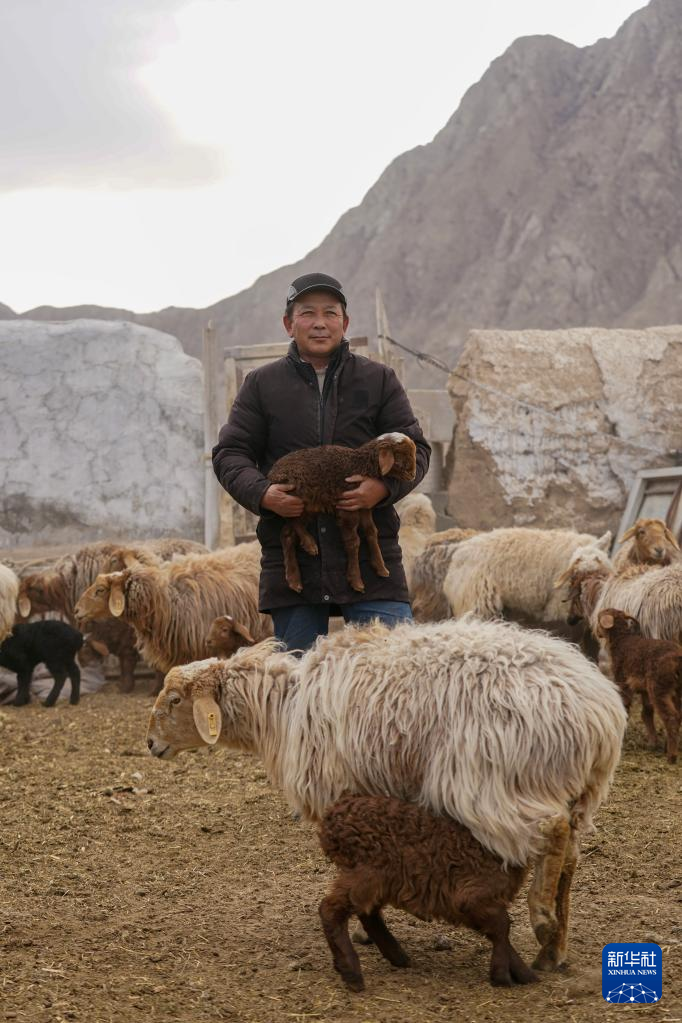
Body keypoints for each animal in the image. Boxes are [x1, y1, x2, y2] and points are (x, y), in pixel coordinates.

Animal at [147, 617, 626, 971]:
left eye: (174, 700)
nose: (150, 745)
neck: (281, 710)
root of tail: (597, 714)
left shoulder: (342, 795)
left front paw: (366, 930)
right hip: (579, 792)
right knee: (570, 855)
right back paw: (555, 949)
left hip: (492, 783)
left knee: (551, 831)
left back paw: (543, 922)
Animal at [266, 433, 417, 593]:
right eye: (401, 456)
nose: (413, 475)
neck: (360, 464)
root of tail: (272, 473)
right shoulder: (347, 508)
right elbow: (353, 541)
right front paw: (356, 581)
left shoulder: (364, 506)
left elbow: (371, 531)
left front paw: (381, 568)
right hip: (295, 495)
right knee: (292, 519)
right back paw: (309, 544)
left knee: (286, 534)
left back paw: (294, 580)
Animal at [318, 794, 536, 992]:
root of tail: (331, 817)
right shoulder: (471, 897)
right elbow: (502, 926)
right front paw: (503, 975)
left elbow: (498, 930)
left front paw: (524, 974)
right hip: (368, 871)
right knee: (330, 909)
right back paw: (352, 973)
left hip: (380, 879)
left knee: (367, 913)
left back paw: (396, 957)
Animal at [596, 609, 682, 763]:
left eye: (599, 619)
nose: (597, 632)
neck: (622, 641)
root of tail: (677, 658)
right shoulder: (644, 690)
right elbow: (646, 713)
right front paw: (653, 743)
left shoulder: (623, 680)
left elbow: (625, 706)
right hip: (676, 689)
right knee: (678, 715)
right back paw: (668, 747)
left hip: (659, 687)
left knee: (671, 717)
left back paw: (671, 757)